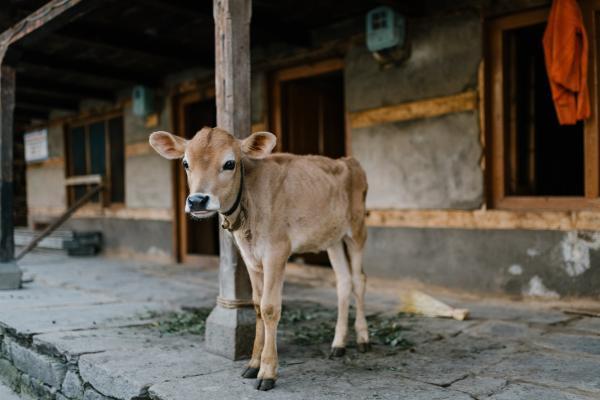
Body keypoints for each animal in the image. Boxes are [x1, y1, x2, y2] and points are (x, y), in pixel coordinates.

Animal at [149, 127, 370, 390]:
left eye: (230, 163)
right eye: (185, 163)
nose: (197, 201)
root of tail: (347, 161)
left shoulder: (277, 251)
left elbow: (269, 308)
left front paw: (267, 372)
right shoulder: (250, 256)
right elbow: (256, 305)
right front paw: (253, 364)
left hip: (357, 230)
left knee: (359, 280)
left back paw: (363, 338)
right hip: (332, 238)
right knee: (343, 281)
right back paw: (338, 344)